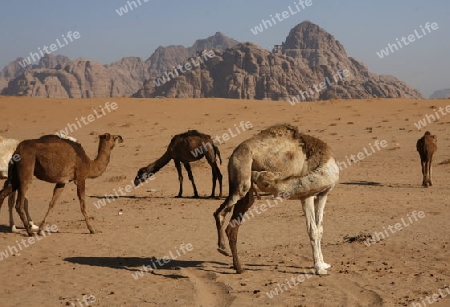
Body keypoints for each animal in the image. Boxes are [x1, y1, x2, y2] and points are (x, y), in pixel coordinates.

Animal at [214, 124, 338, 276]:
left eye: (265, 181)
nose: (254, 173)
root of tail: (234, 153)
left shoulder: (322, 194)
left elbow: (319, 230)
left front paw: (324, 264)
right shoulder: (306, 196)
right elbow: (312, 230)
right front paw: (319, 268)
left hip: (246, 188)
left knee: (234, 223)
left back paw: (239, 267)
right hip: (242, 175)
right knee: (220, 212)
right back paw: (222, 247)